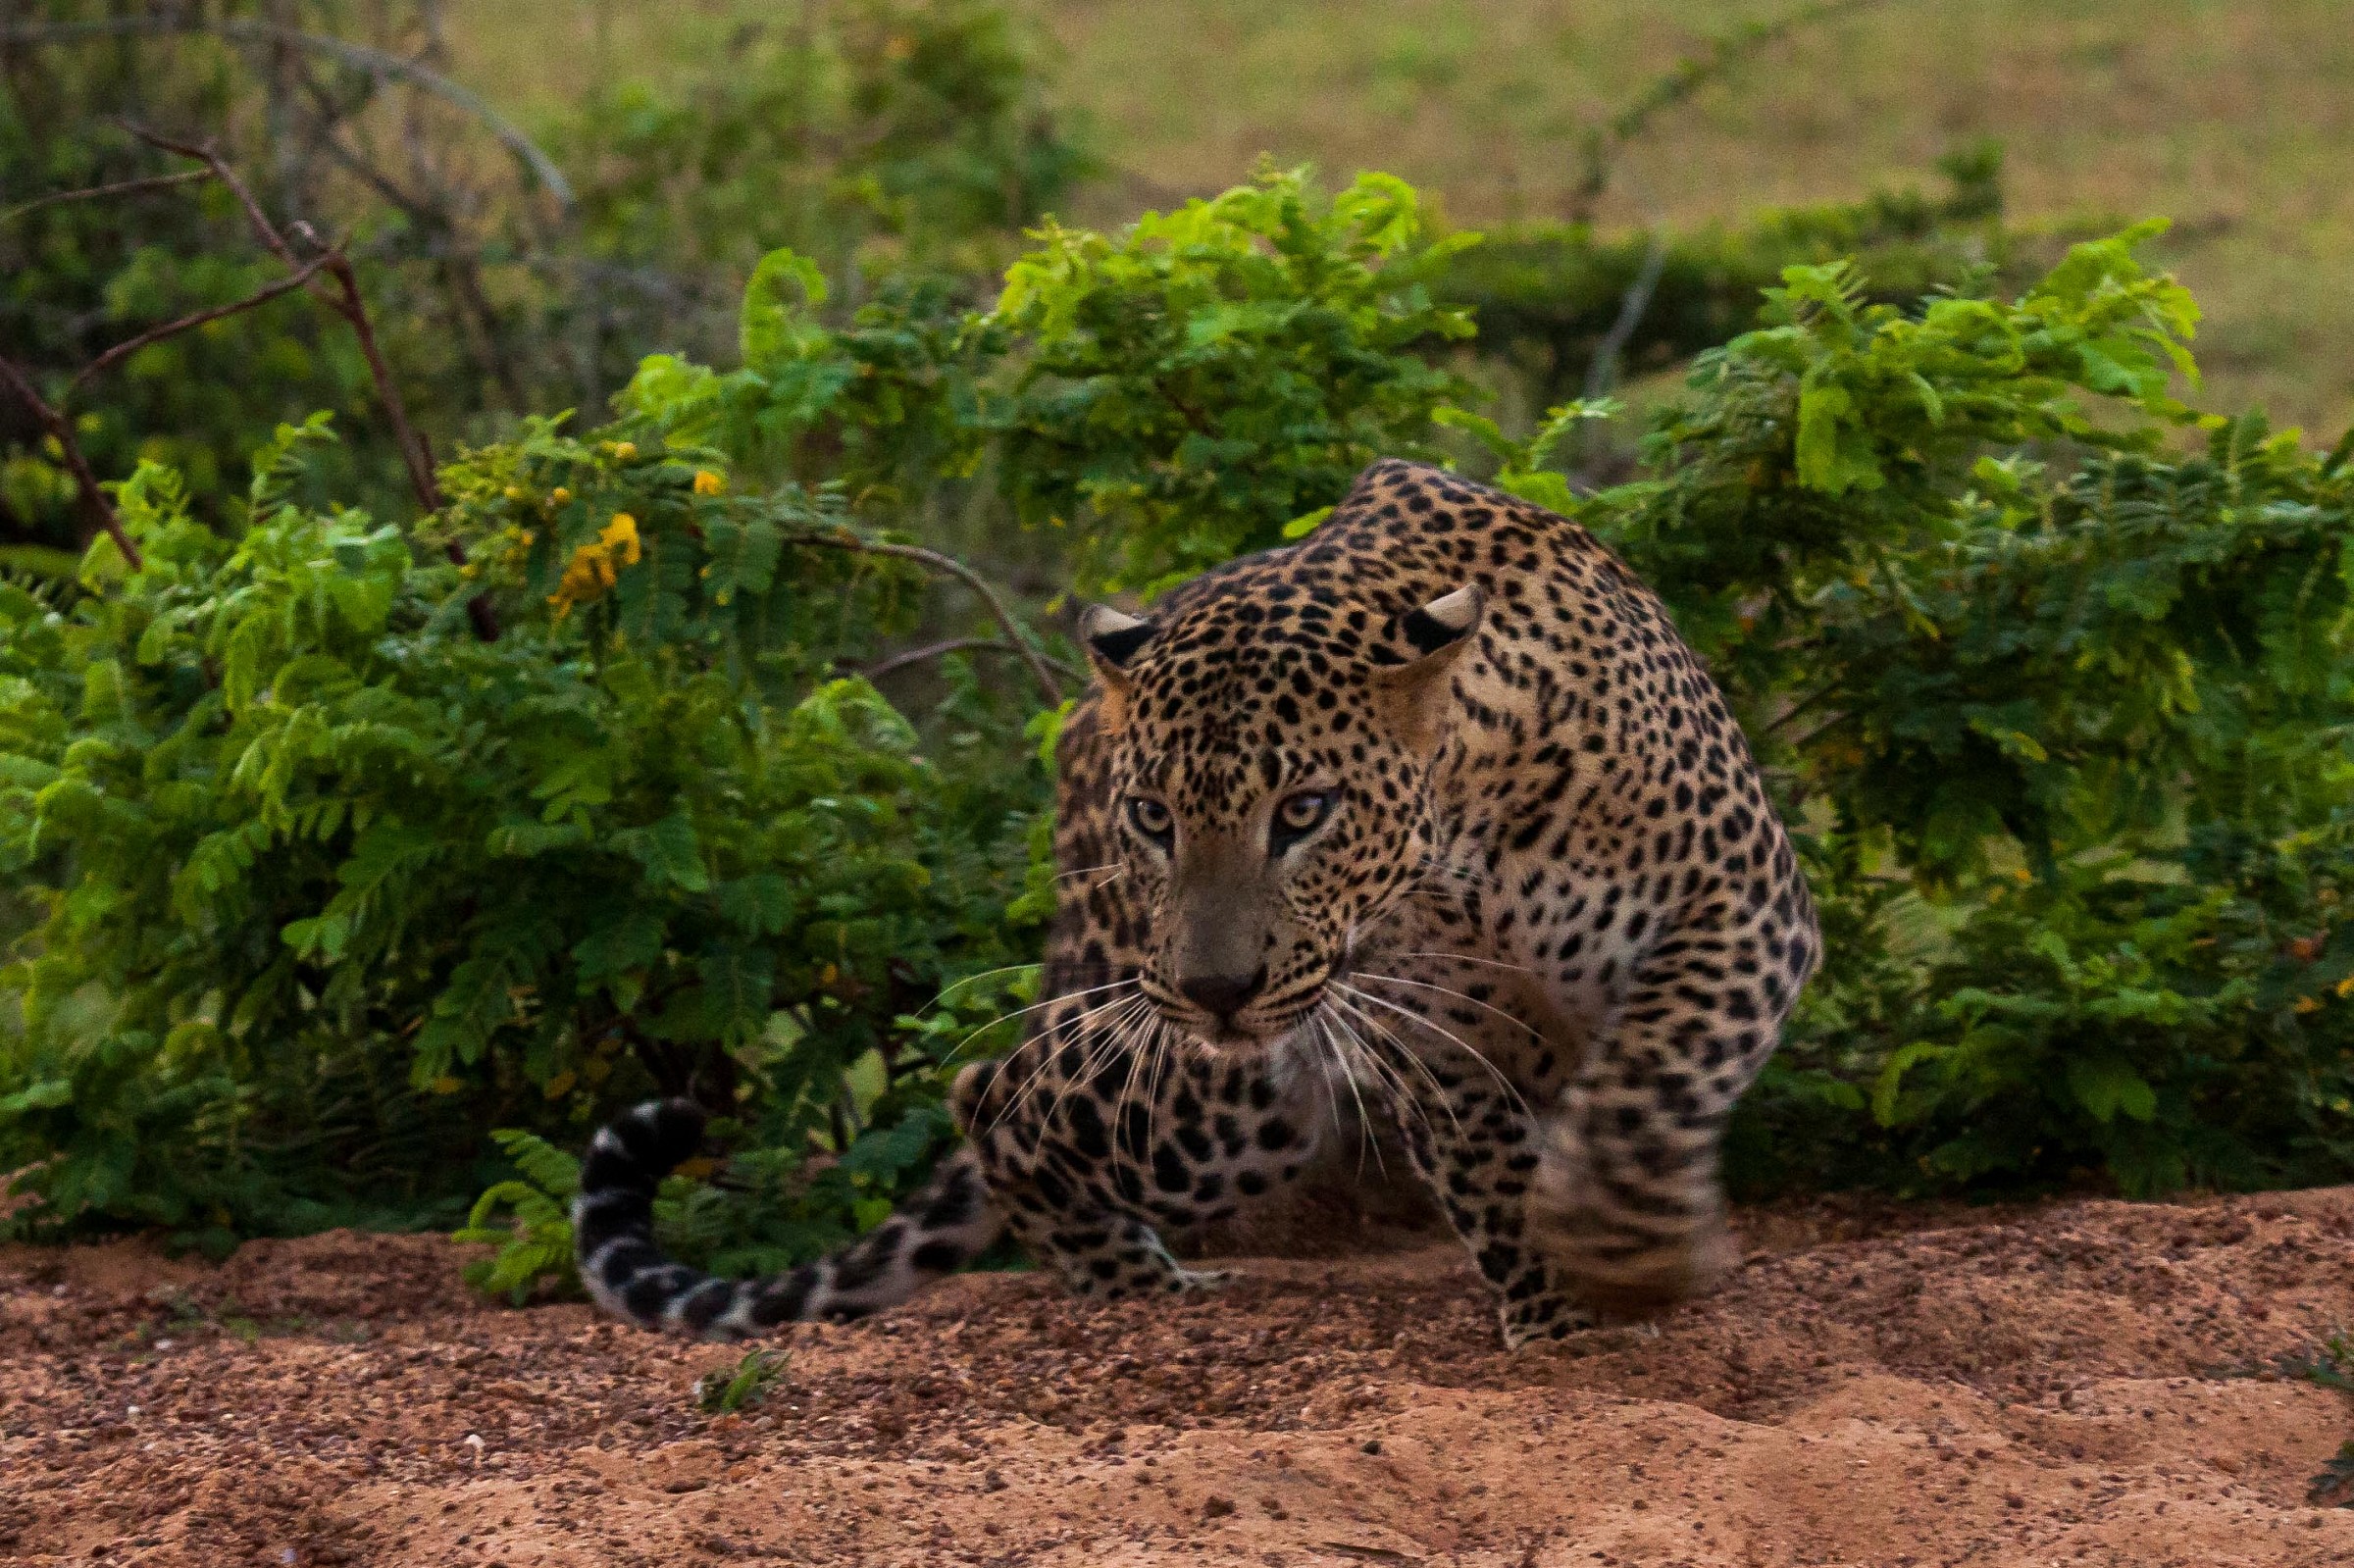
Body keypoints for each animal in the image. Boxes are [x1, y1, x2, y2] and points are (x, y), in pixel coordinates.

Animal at [572, 457, 1819, 1348]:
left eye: (1305, 811)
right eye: (1158, 817)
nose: (1220, 986)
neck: (1461, 846)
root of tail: (1083, 723)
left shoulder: (1739, 902)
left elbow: (1648, 1076)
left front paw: (1617, 1262)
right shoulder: (1436, 1033)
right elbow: (1495, 1173)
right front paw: (1569, 1310)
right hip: (1227, 1098)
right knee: (996, 1095)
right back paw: (1138, 1287)